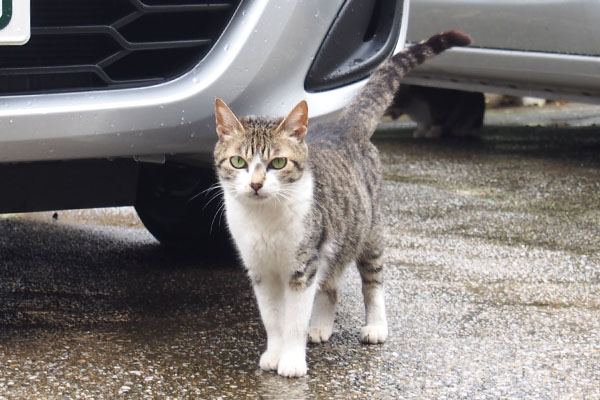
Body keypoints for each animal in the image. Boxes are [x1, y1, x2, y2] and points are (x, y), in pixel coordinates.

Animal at [213, 31, 472, 378]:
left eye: (278, 163)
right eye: (238, 161)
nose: (255, 184)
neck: (264, 219)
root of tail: (345, 126)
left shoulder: (304, 265)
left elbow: (294, 320)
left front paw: (291, 361)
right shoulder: (260, 270)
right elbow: (272, 319)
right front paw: (274, 354)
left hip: (369, 232)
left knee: (372, 282)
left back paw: (375, 326)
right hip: (338, 240)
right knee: (332, 285)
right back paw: (321, 327)